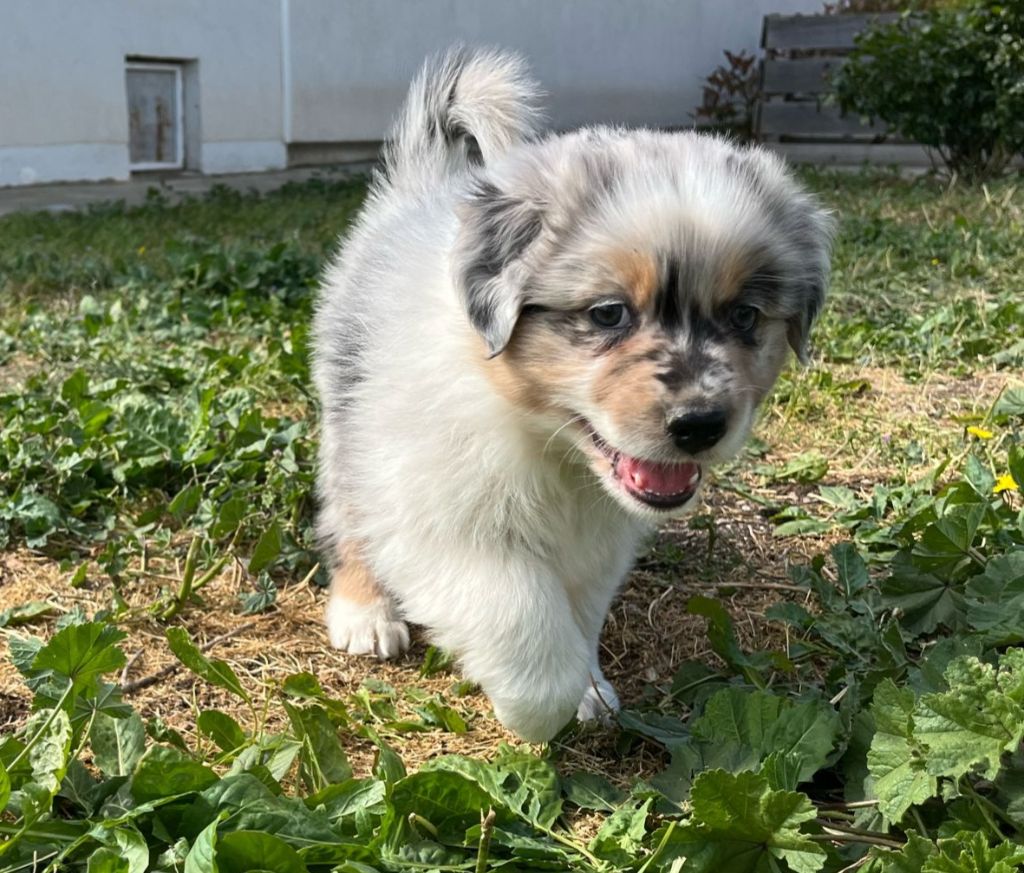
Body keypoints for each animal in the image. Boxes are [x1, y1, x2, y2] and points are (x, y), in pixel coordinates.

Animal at [312, 47, 832, 742]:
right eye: (609, 314)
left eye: (745, 316)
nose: (700, 424)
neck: (549, 444)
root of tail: (422, 191)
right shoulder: (441, 518)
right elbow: (519, 612)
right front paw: (539, 708)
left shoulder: (598, 544)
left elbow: (576, 612)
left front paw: (589, 687)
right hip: (352, 420)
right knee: (347, 512)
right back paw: (364, 612)